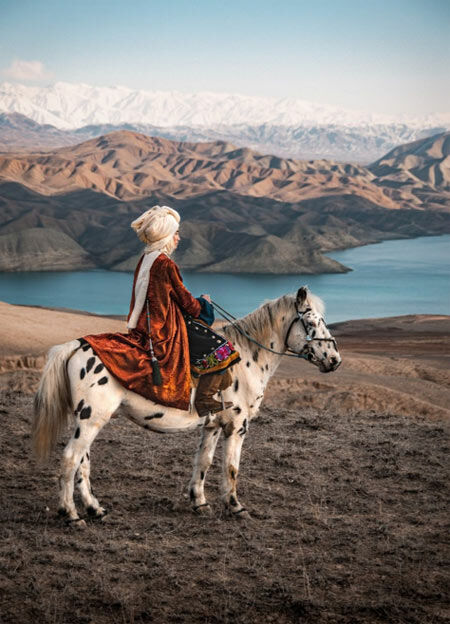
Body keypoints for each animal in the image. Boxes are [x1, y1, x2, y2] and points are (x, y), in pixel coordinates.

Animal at [32, 288, 342, 528]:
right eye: (311, 322)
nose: (335, 360)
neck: (248, 359)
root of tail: (75, 346)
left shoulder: (213, 425)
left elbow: (203, 461)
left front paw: (200, 503)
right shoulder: (237, 426)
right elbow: (231, 467)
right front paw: (236, 506)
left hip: (87, 419)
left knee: (82, 462)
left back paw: (95, 509)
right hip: (91, 419)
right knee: (71, 459)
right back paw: (72, 515)